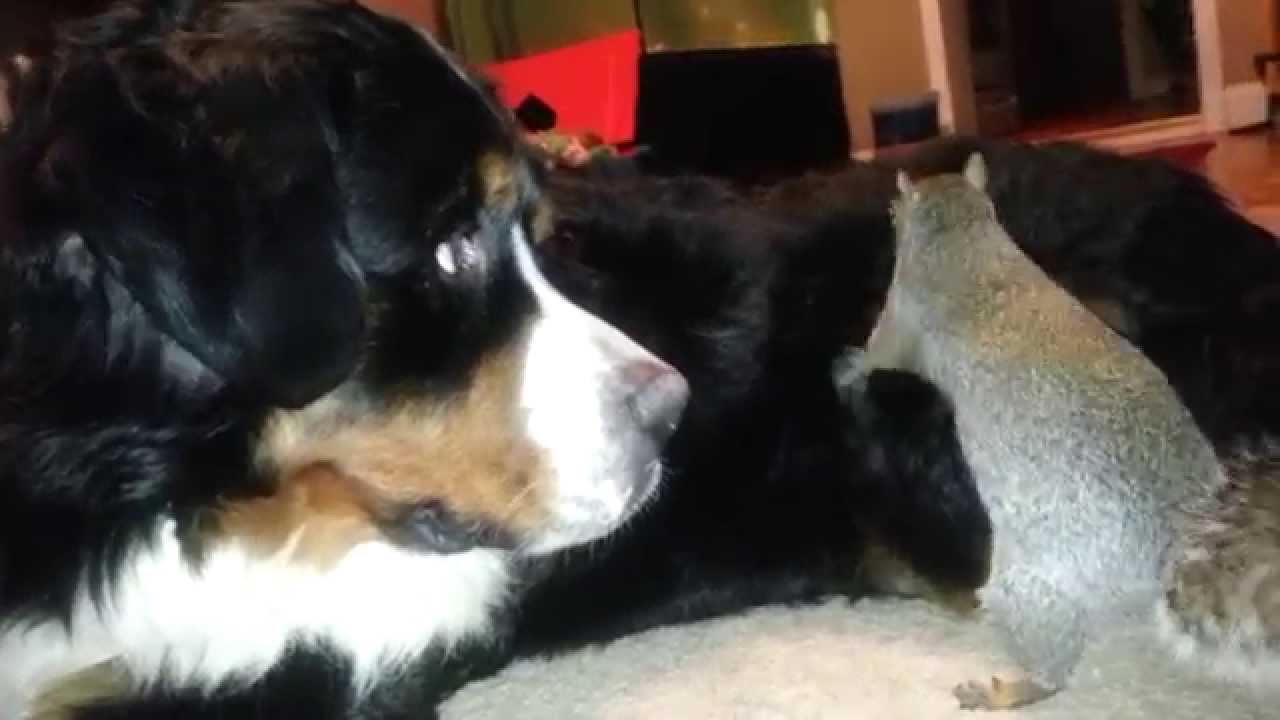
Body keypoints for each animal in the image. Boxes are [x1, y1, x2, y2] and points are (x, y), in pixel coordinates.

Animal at [831, 153, 1280, 709]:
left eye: (895, 211)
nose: (891, 216)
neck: (965, 238)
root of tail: (1164, 563)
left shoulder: (903, 314)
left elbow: (879, 352)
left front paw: (847, 367)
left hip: (1025, 590)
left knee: (1051, 669)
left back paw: (1007, 691)